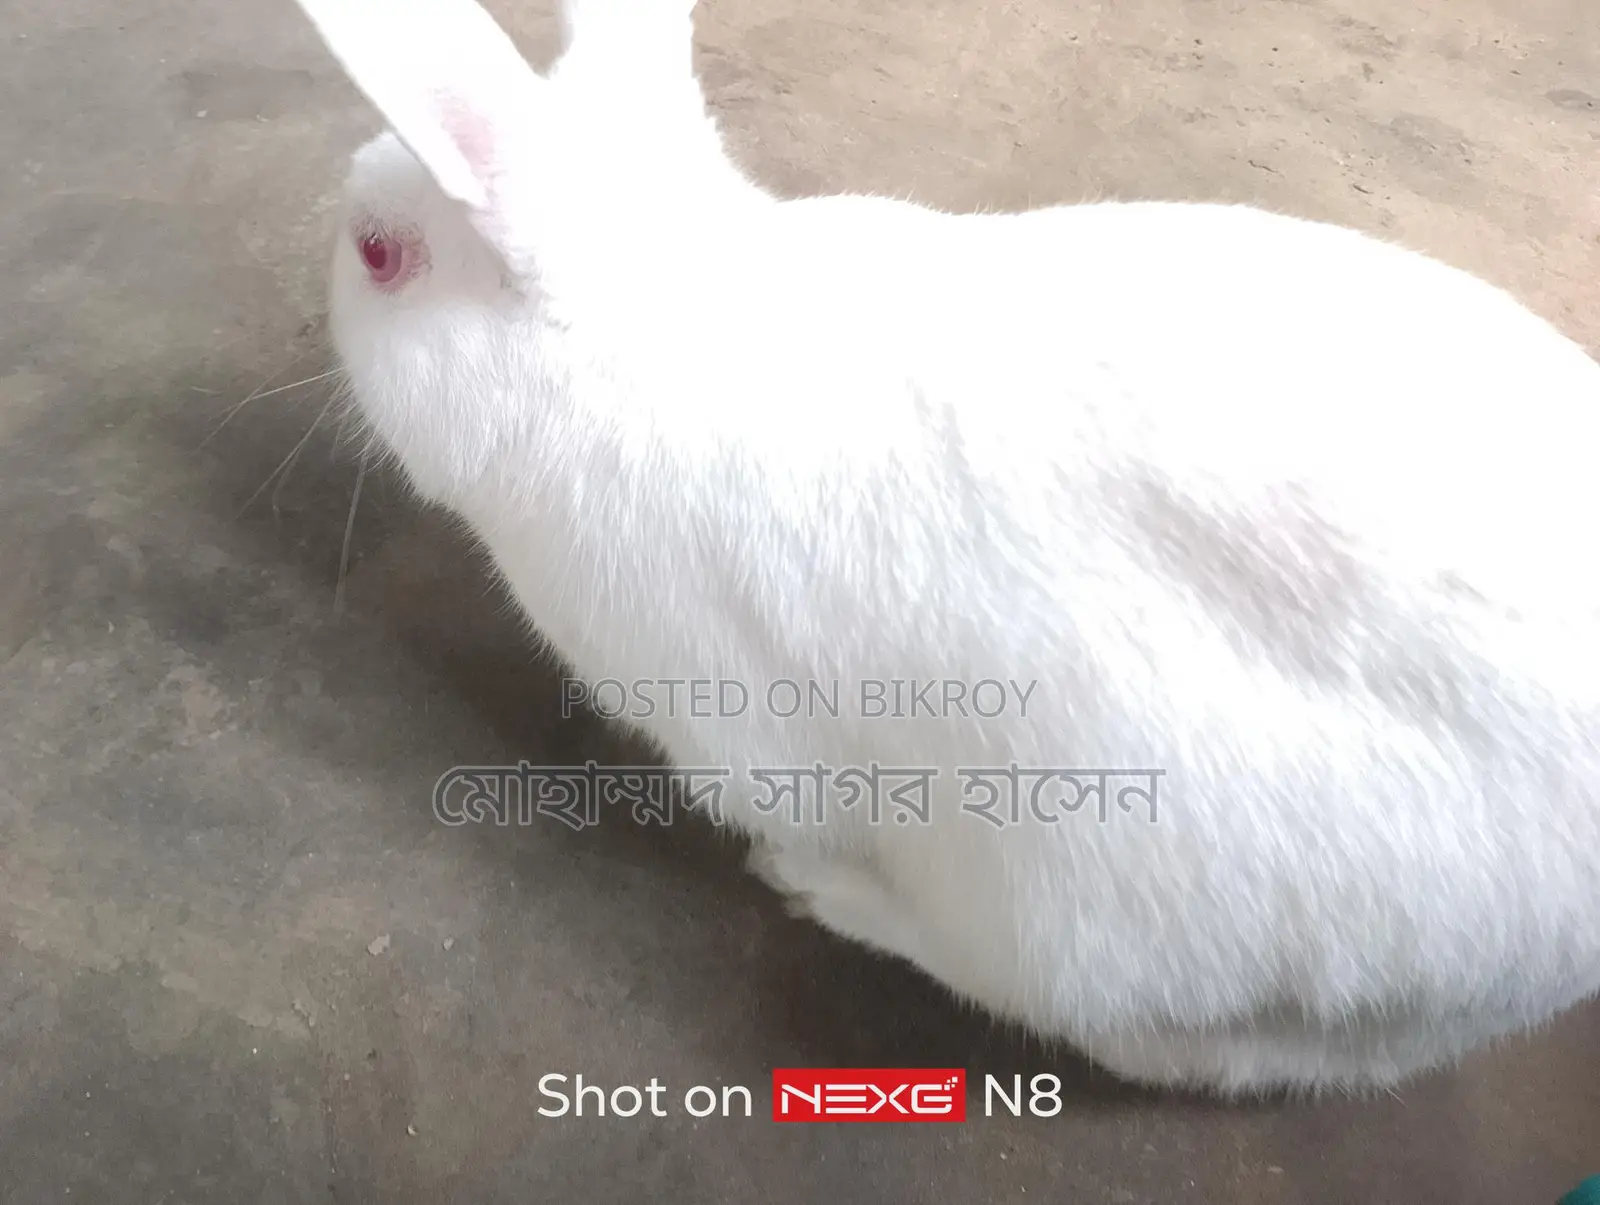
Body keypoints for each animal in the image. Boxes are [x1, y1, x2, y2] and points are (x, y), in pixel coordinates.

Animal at [293, 0, 1600, 1095]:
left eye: (377, 254)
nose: (328, 280)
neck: (653, 322)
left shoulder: (735, 729)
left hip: (1072, 891)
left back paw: (824, 893)